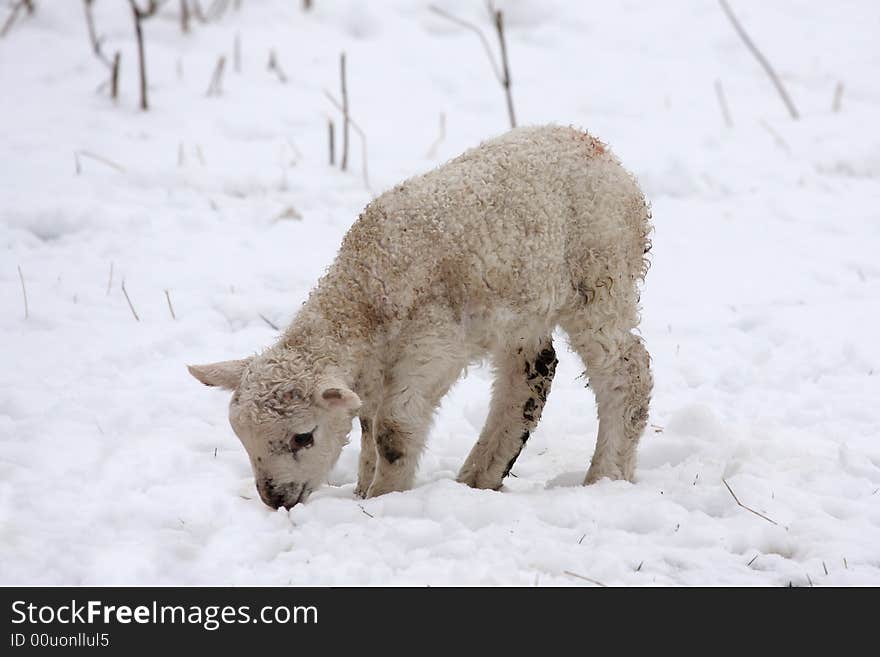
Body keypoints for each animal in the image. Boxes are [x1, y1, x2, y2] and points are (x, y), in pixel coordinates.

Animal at [187, 125, 652, 510]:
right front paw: (362, 488)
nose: (275, 499)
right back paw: (479, 476)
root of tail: (598, 148)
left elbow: (392, 431)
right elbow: (368, 427)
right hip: (523, 309)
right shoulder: (375, 367)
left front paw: (384, 497)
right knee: (529, 376)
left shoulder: (431, 344)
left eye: (304, 436)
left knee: (627, 373)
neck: (364, 290)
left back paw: (606, 474)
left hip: (601, 279)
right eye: (243, 439)